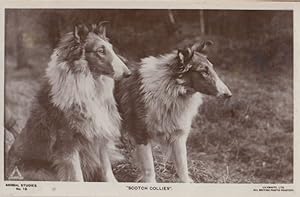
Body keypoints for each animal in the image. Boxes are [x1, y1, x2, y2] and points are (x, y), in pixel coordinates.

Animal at [6, 21, 131, 182]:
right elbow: (76, 175)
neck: (90, 86)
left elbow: (106, 167)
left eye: (111, 48)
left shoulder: (99, 132)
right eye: (100, 51)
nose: (128, 73)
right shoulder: (68, 142)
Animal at [115, 40, 232, 182]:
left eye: (212, 68)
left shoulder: (178, 135)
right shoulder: (141, 134)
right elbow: (149, 168)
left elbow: (182, 165)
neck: (172, 88)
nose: (229, 94)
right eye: (203, 71)